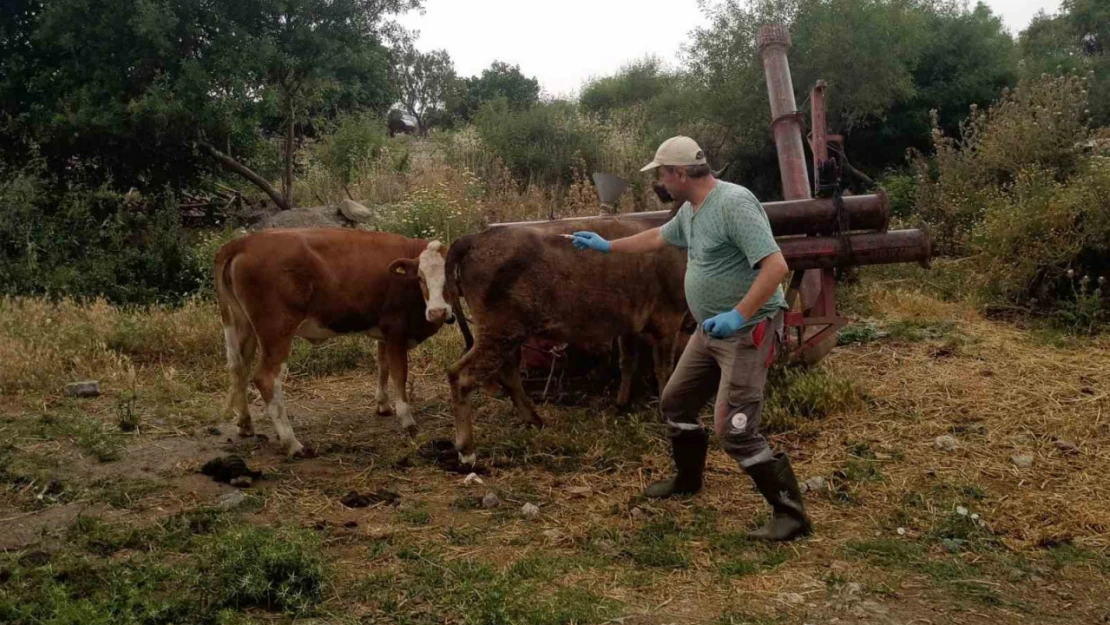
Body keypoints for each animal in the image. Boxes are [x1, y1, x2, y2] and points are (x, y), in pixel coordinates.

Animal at [212, 227, 455, 457]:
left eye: (451, 278)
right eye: (420, 278)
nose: (438, 312)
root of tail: (243, 242)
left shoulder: (384, 331)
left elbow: (382, 365)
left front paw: (383, 404)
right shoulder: (396, 330)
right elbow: (399, 374)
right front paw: (407, 420)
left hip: (244, 325)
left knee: (239, 368)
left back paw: (245, 424)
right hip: (276, 331)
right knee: (266, 378)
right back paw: (293, 444)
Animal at [446, 217, 688, 461]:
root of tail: (475, 238)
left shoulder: (629, 325)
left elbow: (628, 362)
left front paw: (621, 403)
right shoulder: (669, 318)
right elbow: (665, 370)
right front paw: (665, 414)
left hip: (508, 333)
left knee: (509, 373)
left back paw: (534, 420)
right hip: (498, 331)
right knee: (461, 376)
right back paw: (466, 449)